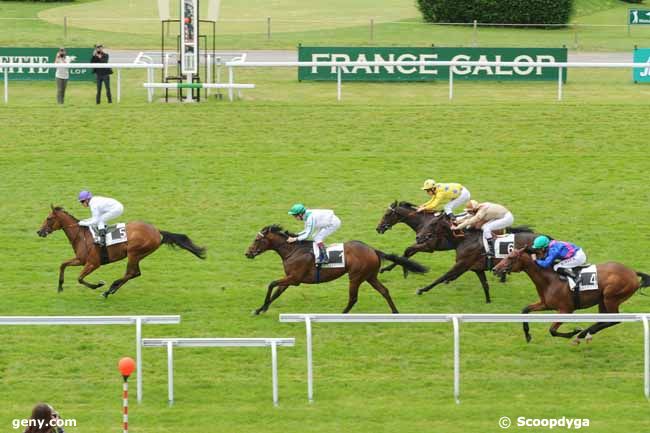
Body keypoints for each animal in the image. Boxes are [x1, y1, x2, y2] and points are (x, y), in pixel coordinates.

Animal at [36, 206, 204, 296]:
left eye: (49, 218)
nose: (39, 231)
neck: (82, 236)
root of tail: (157, 232)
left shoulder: (93, 263)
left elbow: (80, 278)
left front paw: (98, 285)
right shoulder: (81, 260)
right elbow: (63, 264)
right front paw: (60, 287)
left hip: (134, 253)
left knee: (132, 272)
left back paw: (109, 289)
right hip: (138, 255)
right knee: (134, 273)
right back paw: (111, 289)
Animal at [242, 224, 426, 312]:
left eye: (257, 240)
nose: (247, 253)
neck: (293, 250)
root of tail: (373, 249)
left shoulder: (294, 279)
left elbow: (271, 284)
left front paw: (262, 307)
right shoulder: (290, 279)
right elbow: (276, 293)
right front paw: (260, 309)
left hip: (356, 277)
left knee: (353, 298)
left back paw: (342, 314)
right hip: (370, 276)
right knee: (384, 291)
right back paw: (395, 312)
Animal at [492, 248, 648, 342]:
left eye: (511, 257)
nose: (494, 269)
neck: (550, 279)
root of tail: (632, 272)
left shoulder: (566, 310)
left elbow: (552, 330)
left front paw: (573, 332)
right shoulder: (545, 304)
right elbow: (525, 310)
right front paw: (528, 335)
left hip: (611, 298)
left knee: (614, 320)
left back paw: (582, 334)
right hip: (603, 300)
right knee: (605, 320)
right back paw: (586, 333)